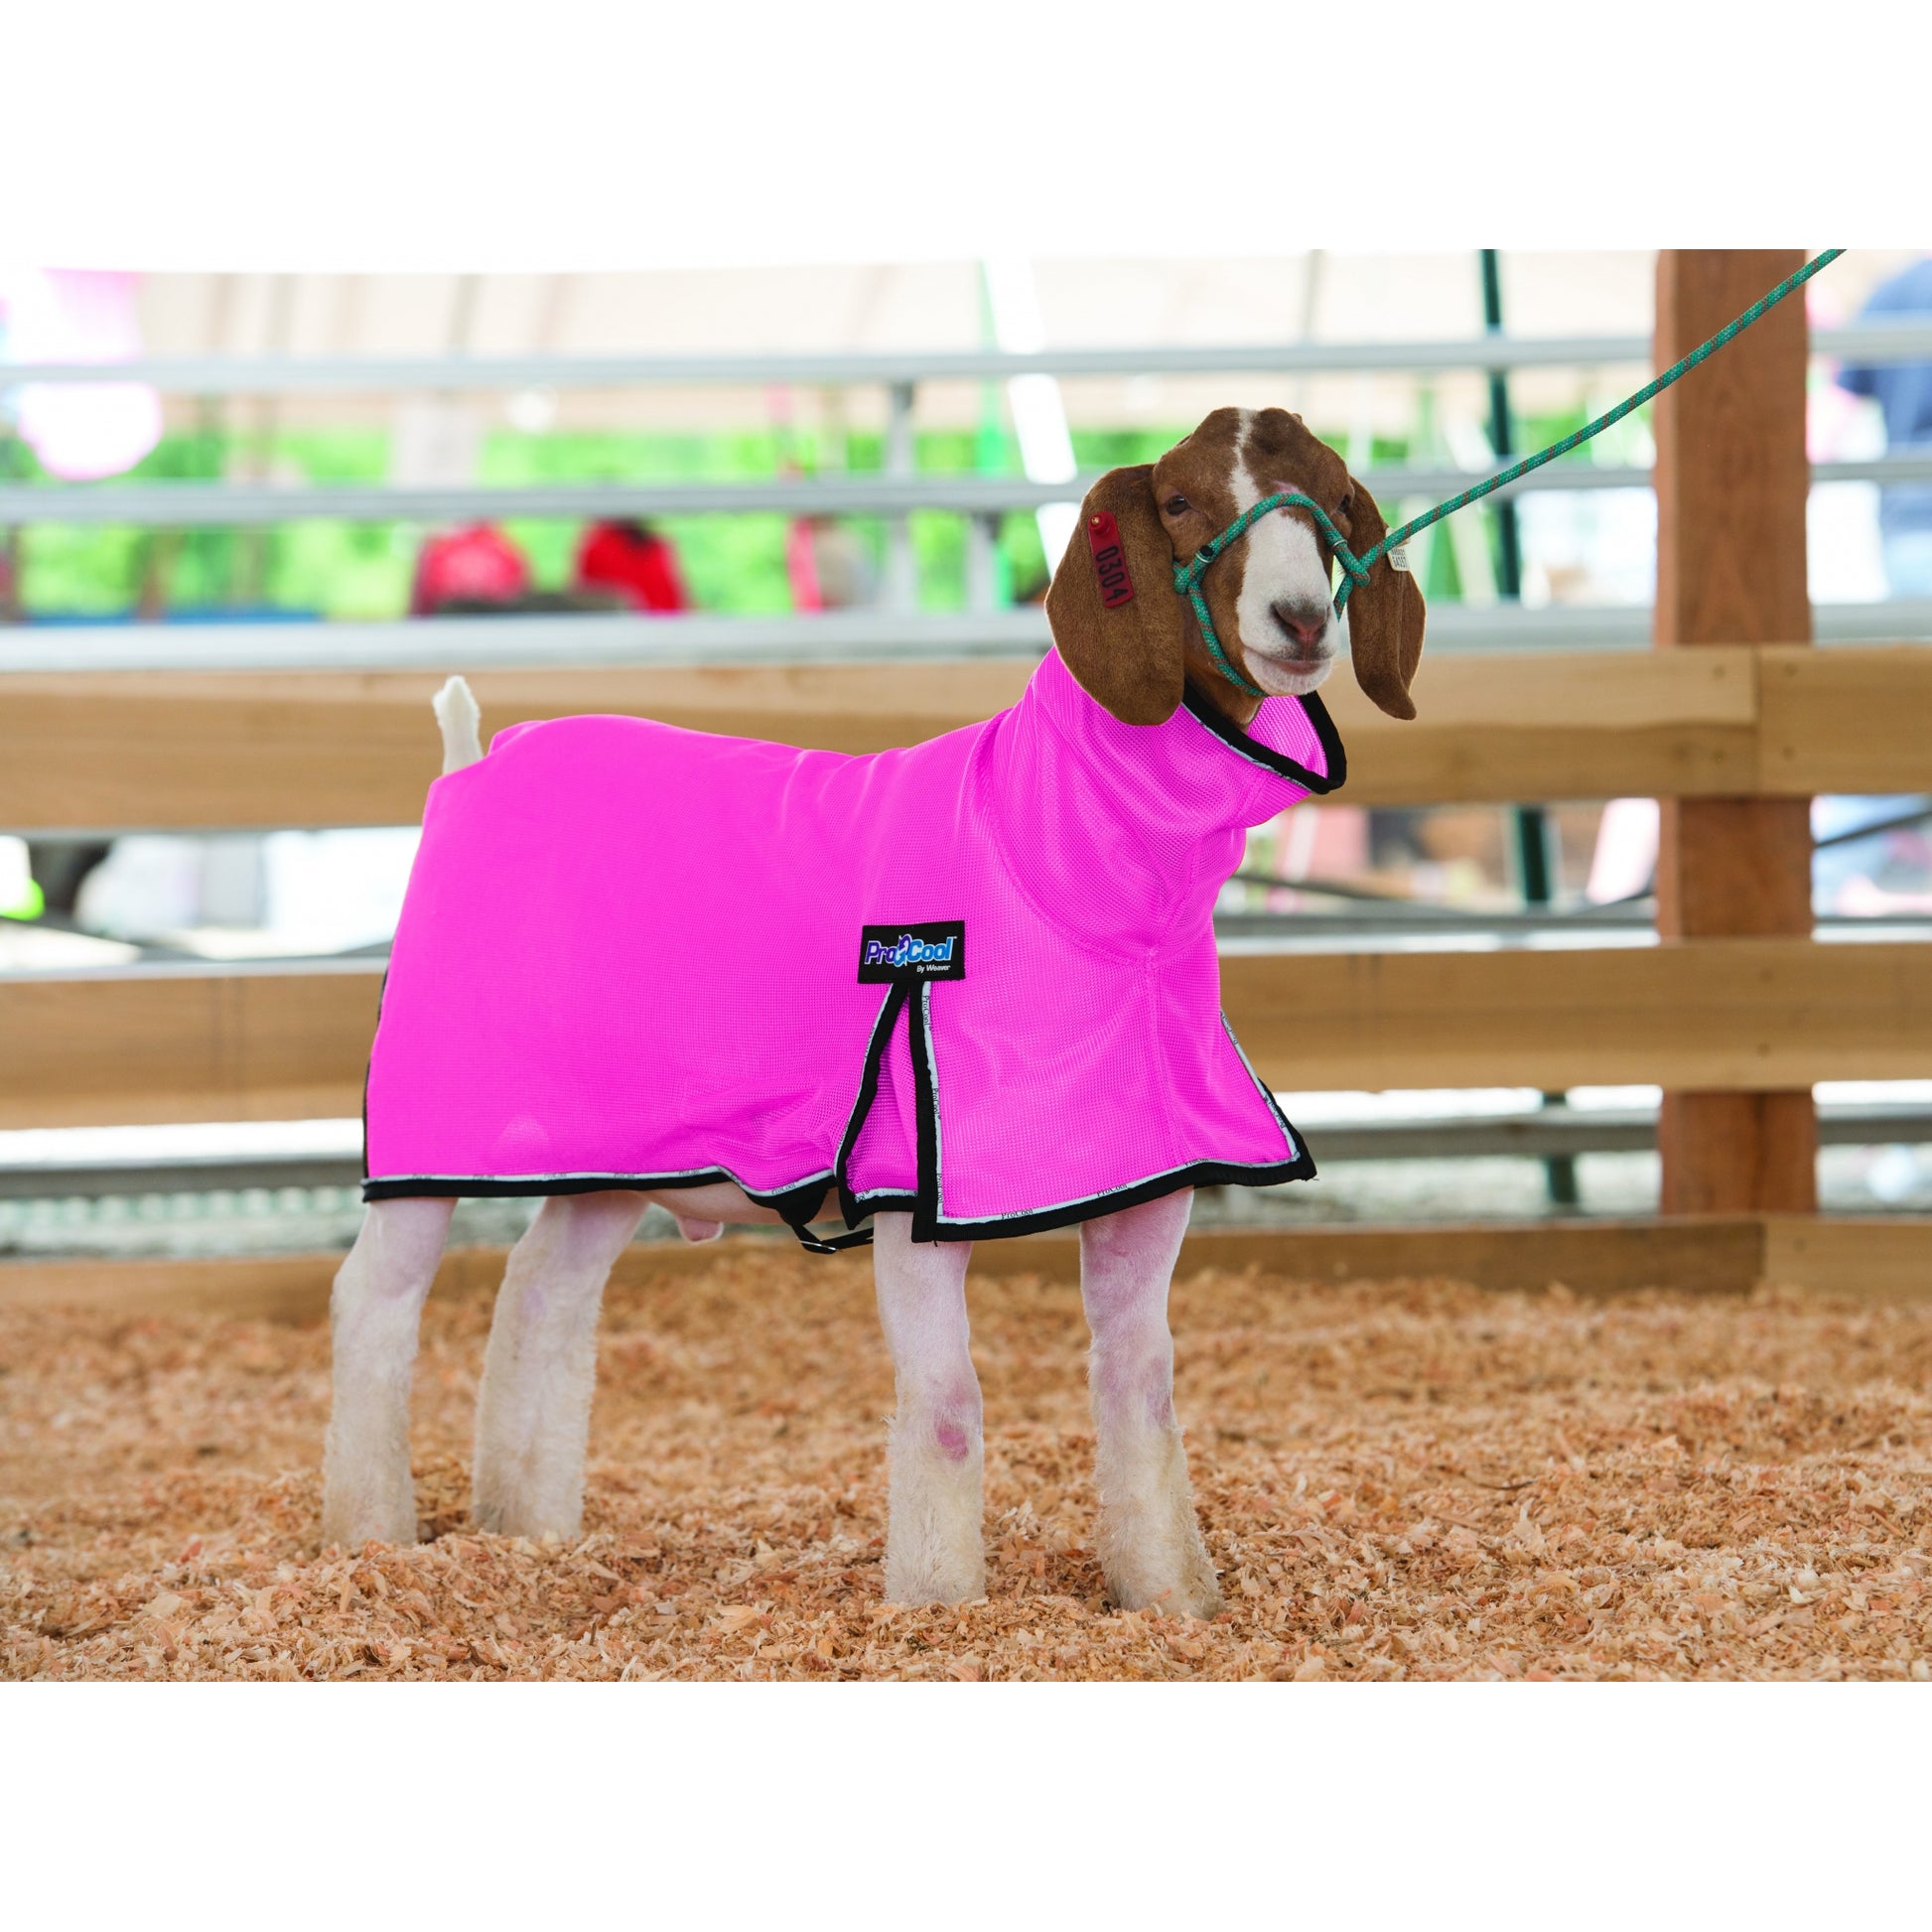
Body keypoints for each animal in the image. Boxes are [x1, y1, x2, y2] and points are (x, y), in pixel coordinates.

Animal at [322, 406, 1425, 1617]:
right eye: (1180, 501)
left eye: (1333, 498)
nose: (1299, 618)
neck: (1045, 854)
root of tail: (468, 762)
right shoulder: (914, 1168)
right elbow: (946, 1402)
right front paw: (938, 1604)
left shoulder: (1144, 1174)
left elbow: (1141, 1393)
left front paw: (1173, 1600)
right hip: (434, 1112)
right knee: (374, 1303)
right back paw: (371, 1535)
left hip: (616, 1146)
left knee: (542, 1294)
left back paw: (526, 1529)